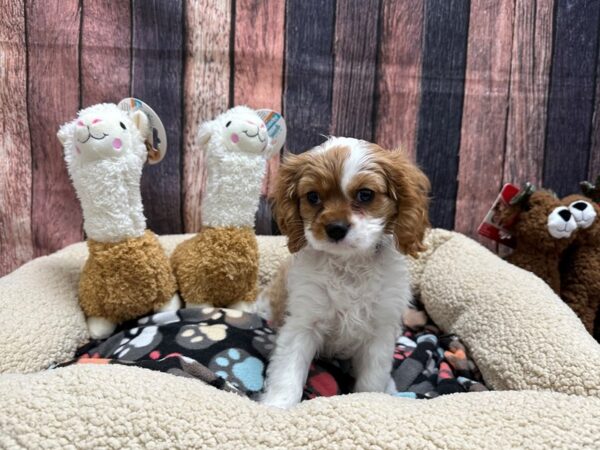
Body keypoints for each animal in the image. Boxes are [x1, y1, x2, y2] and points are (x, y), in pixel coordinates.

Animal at [260, 136, 428, 408]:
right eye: (313, 197)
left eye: (365, 194)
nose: (336, 228)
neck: (349, 264)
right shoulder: (302, 322)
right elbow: (288, 371)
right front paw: (277, 406)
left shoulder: (380, 331)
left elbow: (373, 378)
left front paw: (371, 398)